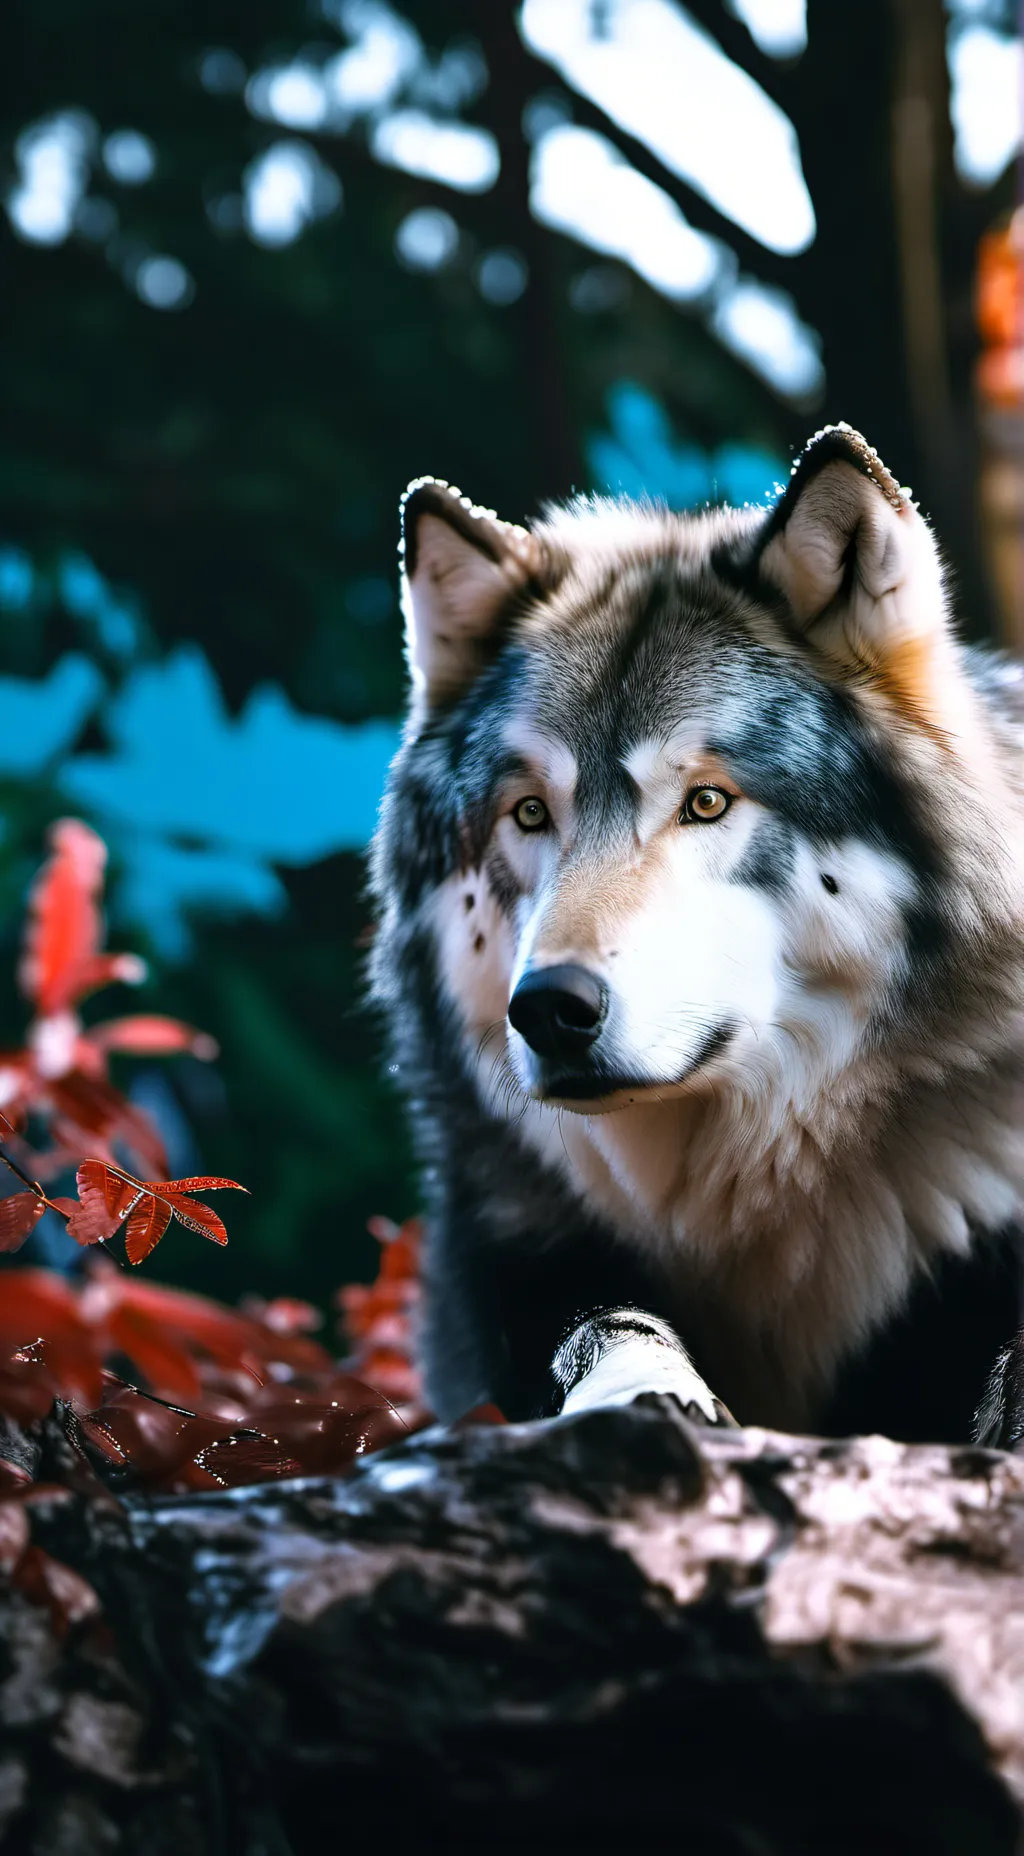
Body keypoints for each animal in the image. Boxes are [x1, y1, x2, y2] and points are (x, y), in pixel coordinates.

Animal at [370, 424, 1024, 1447]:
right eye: (529, 814)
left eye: (707, 802)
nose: (548, 1010)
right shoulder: (517, 1264)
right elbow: (603, 1323)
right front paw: (643, 1391)